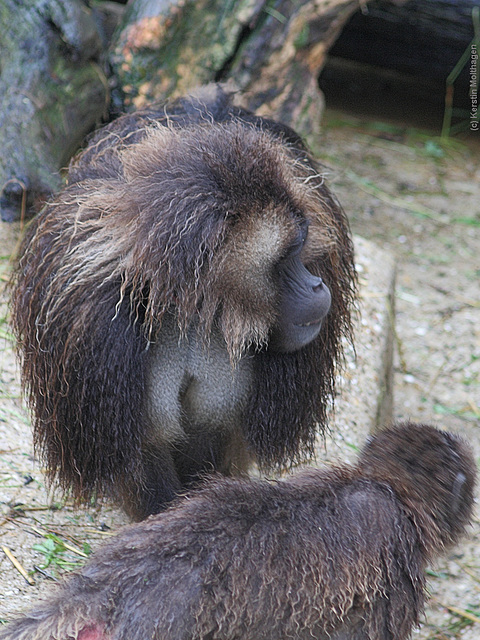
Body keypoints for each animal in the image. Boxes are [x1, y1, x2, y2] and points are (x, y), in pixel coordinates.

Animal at [11, 82, 356, 520]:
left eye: (303, 244)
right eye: (288, 256)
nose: (316, 285)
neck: (192, 303)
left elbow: (210, 428)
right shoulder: (96, 325)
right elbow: (146, 442)